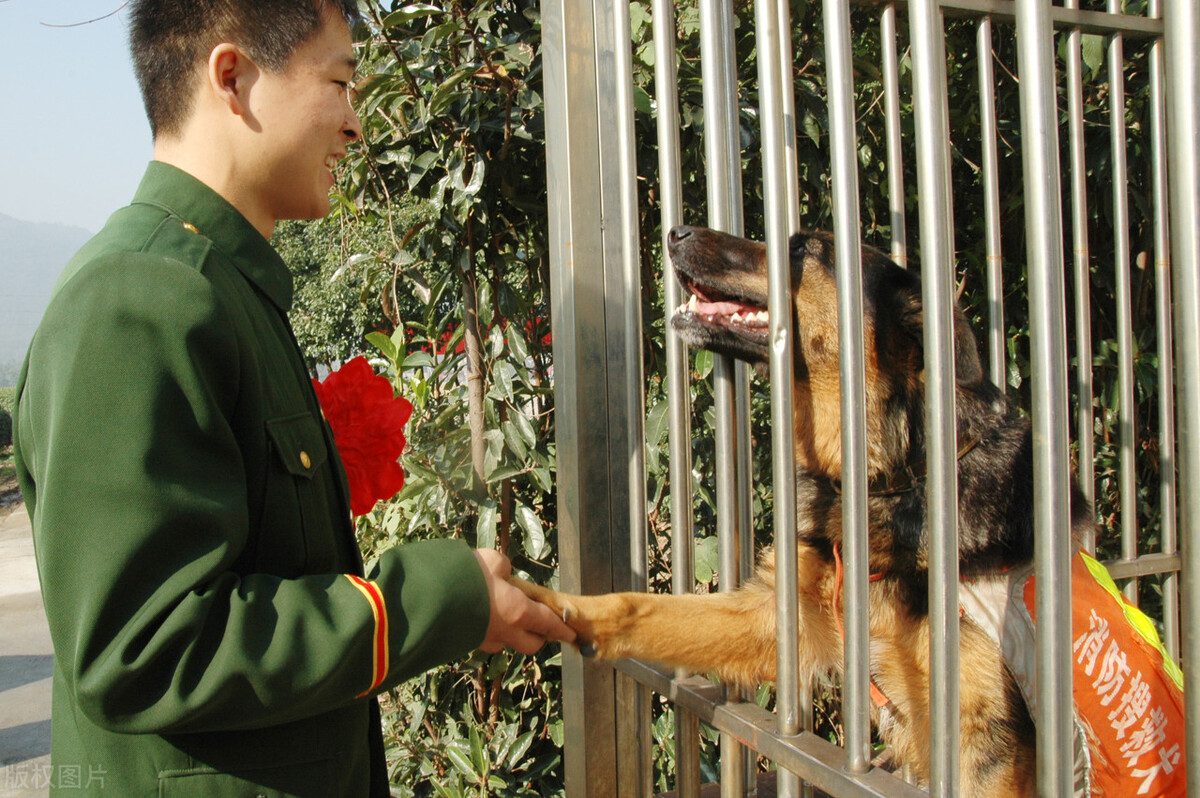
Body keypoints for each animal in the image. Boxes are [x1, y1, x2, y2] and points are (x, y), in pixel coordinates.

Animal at [511, 222, 1094, 792]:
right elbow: (637, 606)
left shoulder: (986, 746)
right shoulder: (775, 615)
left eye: (802, 249)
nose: (674, 231)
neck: (895, 477)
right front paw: (541, 602)